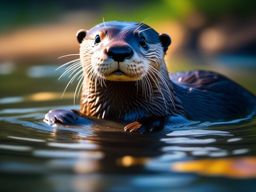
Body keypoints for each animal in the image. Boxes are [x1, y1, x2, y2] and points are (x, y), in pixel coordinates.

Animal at [43, 20, 255, 132]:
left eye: (143, 41)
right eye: (97, 38)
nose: (118, 51)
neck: (121, 111)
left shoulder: (182, 116)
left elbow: (172, 118)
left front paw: (144, 123)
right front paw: (60, 114)